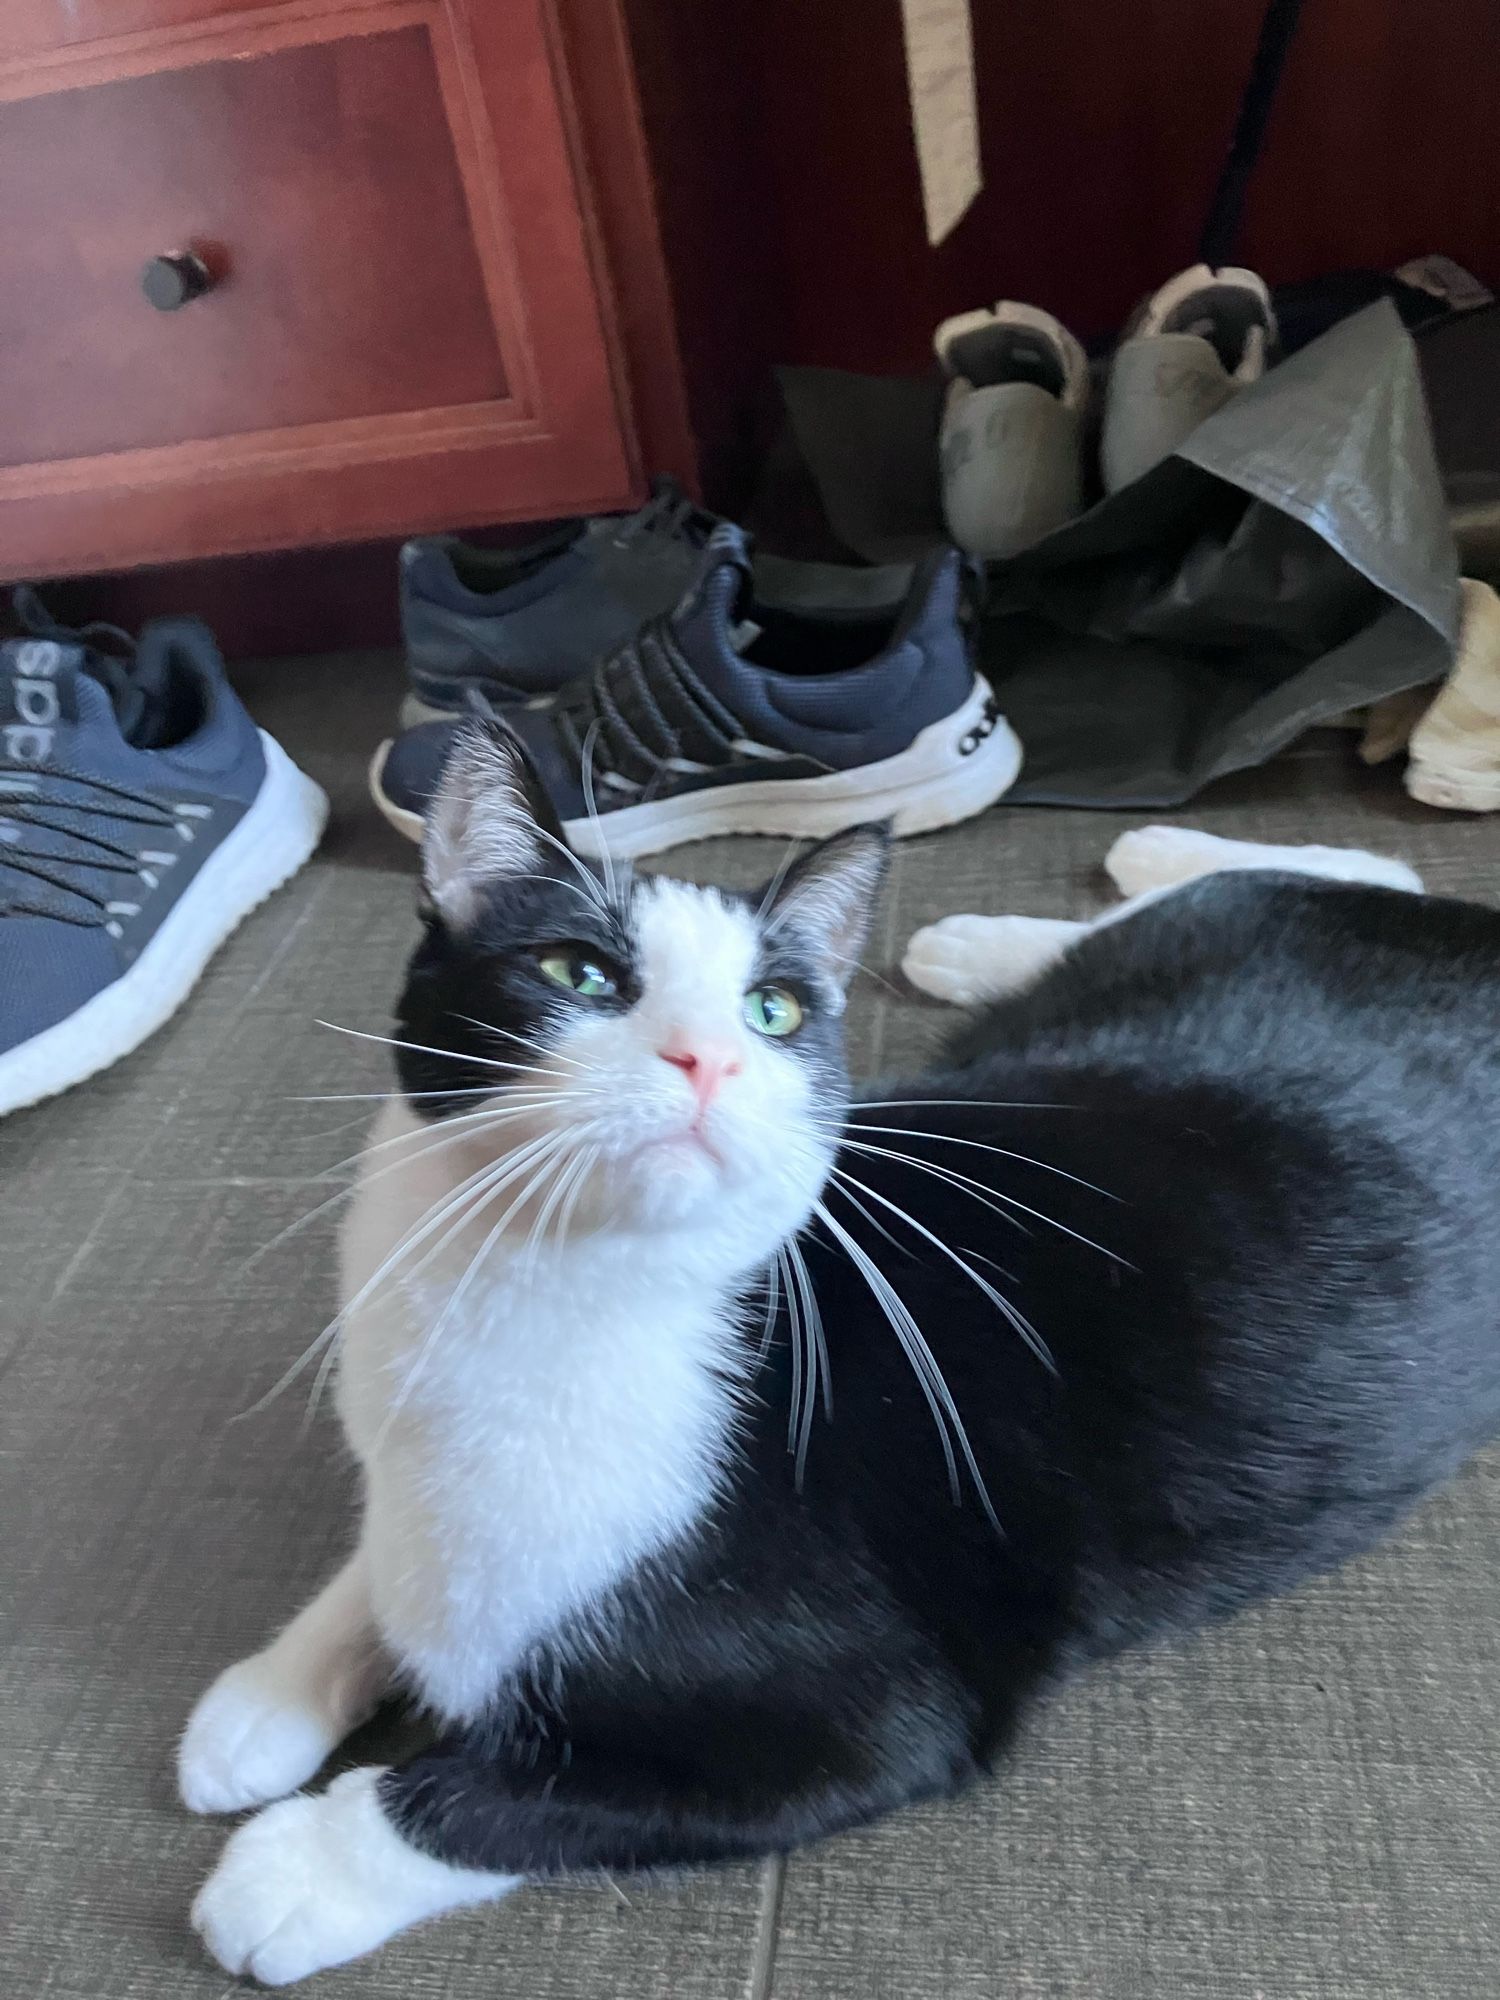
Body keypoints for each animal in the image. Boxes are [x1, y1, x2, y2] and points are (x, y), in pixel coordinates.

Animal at [182, 724, 1500, 1984]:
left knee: (1364, 865)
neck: (548, 1297)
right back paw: (1020, 922)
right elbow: (382, 1568)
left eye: (773, 1010)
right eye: (577, 971)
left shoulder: (870, 1715)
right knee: (1324, 875)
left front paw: (300, 1868)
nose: (706, 1056)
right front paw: (264, 1698)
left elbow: (505, 1789)